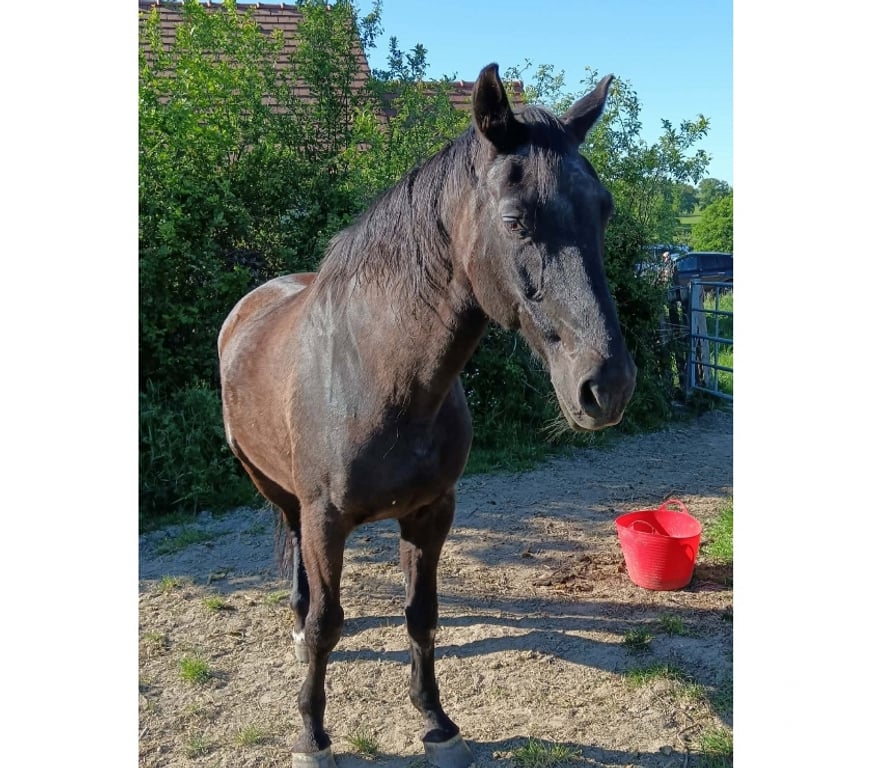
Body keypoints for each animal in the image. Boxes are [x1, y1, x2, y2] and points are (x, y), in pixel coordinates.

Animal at [218, 63, 636, 768]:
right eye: (517, 221)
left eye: (602, 210)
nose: (608, 386)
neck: (381, 378)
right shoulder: (326, 520)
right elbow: (328, 624)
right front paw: (312, 736)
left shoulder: (431, 513)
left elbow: (422, 616)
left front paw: (438, 724)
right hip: (271, 485)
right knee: (299, 566)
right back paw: (297, 629)